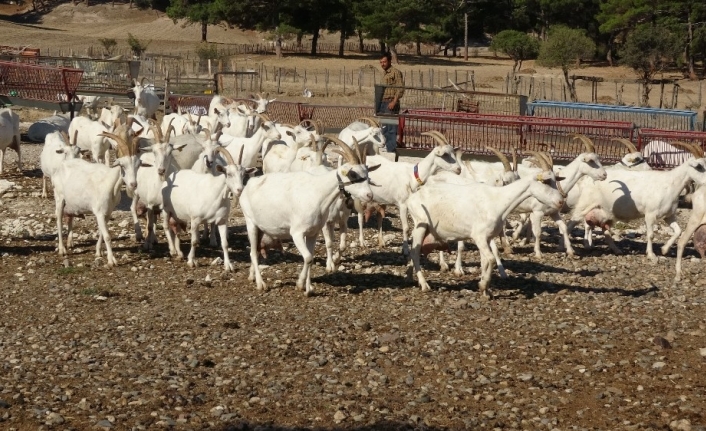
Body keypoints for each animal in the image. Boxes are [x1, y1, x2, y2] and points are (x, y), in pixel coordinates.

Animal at [239, 140, 376, 296]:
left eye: (366, 173)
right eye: (353, 174)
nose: (369, 195)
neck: (317, 192)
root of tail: (248, 185)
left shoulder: (313, 233)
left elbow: (310, 258)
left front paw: (307, 287)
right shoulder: (297, 233)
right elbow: (308, 257)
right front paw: (300, 284)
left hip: (261, 227)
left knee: (255, 250)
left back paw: (251, 276)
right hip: (250, 223)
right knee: (252, 253)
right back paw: (261, 284)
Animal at [404, 164, 564, 298]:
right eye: (546, 181)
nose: (561, 201)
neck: (497, 200)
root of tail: (412, 197)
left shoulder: (486, 238)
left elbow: (484, 261)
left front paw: (486, 292)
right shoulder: (479, 237)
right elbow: (491, 259)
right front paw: (482, 285)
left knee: (414, 250)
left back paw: (409, 276)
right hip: (420, 224)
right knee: (415, 252)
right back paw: (424, 284)